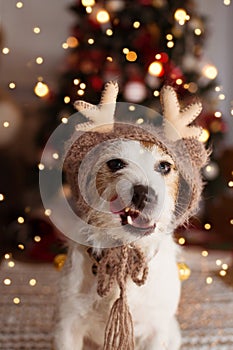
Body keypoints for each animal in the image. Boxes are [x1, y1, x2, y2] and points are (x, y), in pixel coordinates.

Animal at [53, 82, 208, 350]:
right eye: (115, 164)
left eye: (164, 166)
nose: (144, 194)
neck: (124, 255)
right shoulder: (68, 325)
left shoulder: (157, 330)